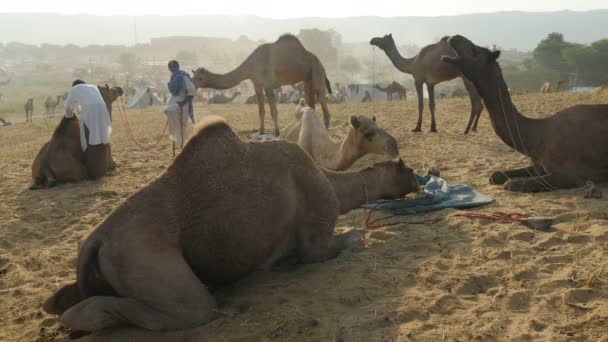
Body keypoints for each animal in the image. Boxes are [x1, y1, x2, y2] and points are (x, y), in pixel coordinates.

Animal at [40, 116, 416, 332]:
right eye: (407, 170)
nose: (420, 177)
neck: (329, 179)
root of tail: (98, 240)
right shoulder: (317, 238)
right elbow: (343, 242)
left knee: (62, 299)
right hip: (142, 257)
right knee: (191, 307)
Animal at [192, 34, 332, 136]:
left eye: (199, 78)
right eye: (193, 77)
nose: (192, 85)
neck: (251, 65)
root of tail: (318, 60)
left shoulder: (268, 85)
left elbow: (273, 111)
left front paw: (277, 132)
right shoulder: (257, 85)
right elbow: (261, 110)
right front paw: (261, 131)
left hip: (317, 69)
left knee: (321, 96)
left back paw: (325, 131)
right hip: (307, 78)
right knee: (311, 101)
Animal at [442, 36, 608, 194]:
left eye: (476, 50)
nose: (455, 37)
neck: (538, 138)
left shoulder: (571, 175)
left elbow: (512, 184)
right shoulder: (537, 165)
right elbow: (495, 175)